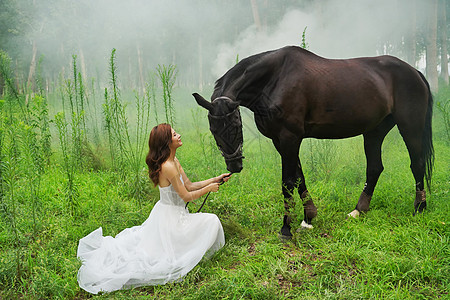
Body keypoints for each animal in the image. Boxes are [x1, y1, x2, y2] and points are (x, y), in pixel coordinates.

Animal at [192, 45, 432, 239]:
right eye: (213, 130)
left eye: (235, 126)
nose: (234, 166)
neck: (274, 79)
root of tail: (415, 72)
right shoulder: (281, 141)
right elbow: (299, 178)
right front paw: (308, 218)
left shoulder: (290, 138)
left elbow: (287, 182)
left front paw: (286, 229)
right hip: (374, 132)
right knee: (375, 168)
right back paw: (358, 210)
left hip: (410, 126)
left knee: (417, 164)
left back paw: (419, 207)